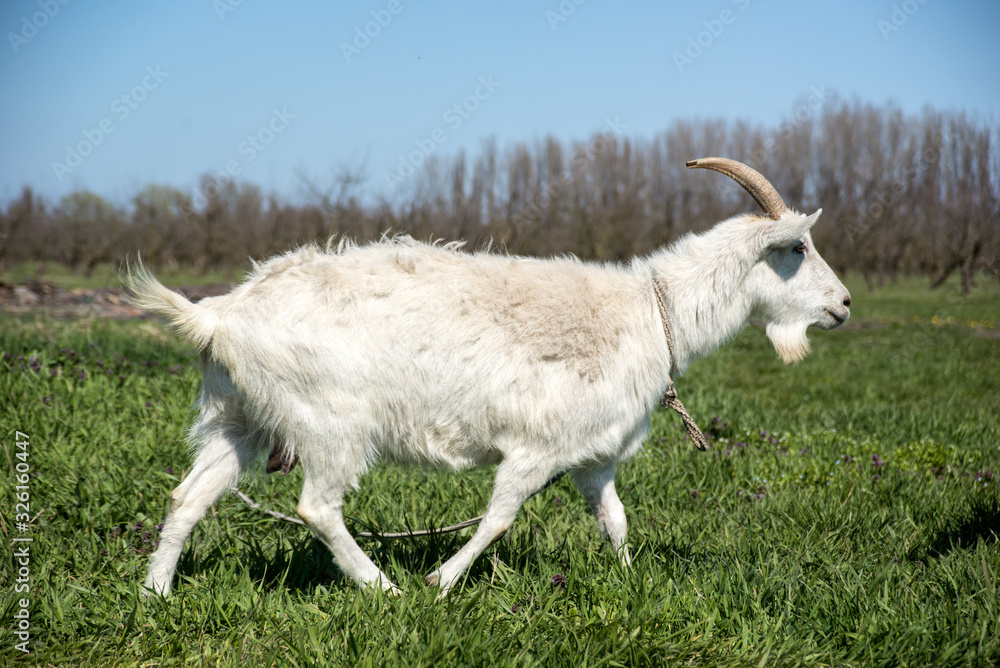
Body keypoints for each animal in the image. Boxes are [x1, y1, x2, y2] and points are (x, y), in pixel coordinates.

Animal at [125, 158, 851, 597]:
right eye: (796, 248)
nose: (843, 305)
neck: (653, 311)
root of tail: (219, 315)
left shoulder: (593, 456)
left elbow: (615, 519)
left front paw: (627, 581)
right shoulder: (537, 448)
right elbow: (499, 518)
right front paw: (442, 582)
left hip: (238, 419)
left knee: (187, 496)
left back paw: (156, 592)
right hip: (331, 422)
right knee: (318, 508)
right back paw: (382, 587)